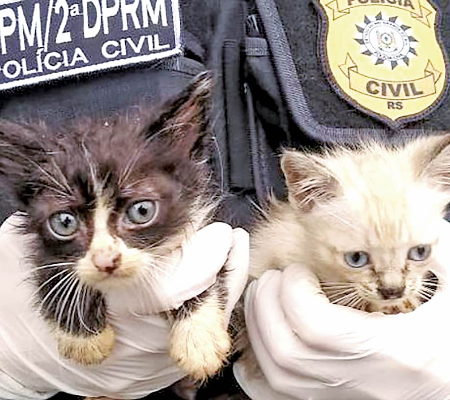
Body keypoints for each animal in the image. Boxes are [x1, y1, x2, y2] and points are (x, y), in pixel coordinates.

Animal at [0, 73, 231, 386]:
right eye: (64, 223)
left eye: (141, 211)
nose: (105, 261)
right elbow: (51, 267)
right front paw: (84, 339)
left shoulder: (208, 222)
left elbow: (207, 267)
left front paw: (198, 338)